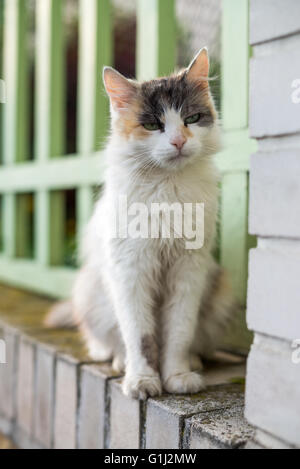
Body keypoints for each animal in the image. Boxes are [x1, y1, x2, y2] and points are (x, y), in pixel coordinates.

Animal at [46, 47, 234, 398]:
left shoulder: (188, 271)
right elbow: (140, 336)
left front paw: (177, 375)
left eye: (190, 119)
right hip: (90, 288)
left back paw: (193, 362)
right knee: (106, 340)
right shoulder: (131, 271)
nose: (178, 141)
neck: (167, 190)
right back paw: (117, 360)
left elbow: (179, 332)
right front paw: (142, 381)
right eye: (152, 124)